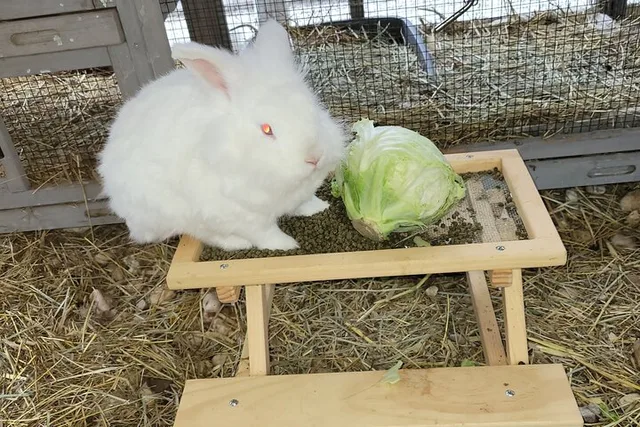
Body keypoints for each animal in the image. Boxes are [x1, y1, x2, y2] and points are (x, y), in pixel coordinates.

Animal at [96, 19, 348, 251]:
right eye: (267, 129)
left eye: (313, 110)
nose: (314, 157)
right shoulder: (241, 214)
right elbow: (265, 233)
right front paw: (287, 246)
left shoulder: (299, 195)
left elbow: (303, 204)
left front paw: (319, 207)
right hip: (177, 213)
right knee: (204, 233)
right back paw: (238, 243)